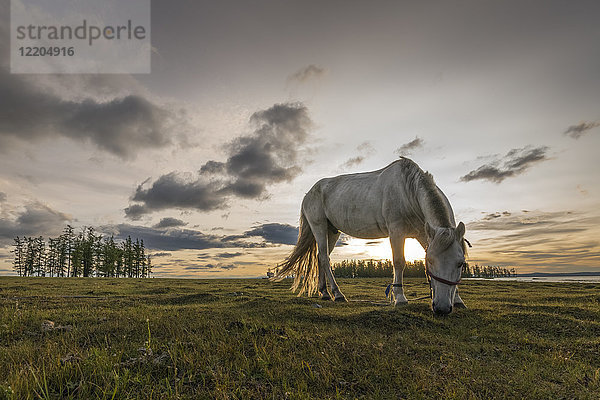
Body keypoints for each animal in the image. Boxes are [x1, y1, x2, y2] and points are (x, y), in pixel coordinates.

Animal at [274, 157, 468, 316]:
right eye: (430, 262)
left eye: (461, 263)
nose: (442, 308)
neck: (409, 191)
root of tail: (309, 193)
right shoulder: (396, 231)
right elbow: (399, 262)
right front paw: (400, 298)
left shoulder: (423, 233)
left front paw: (458, 300)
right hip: (319, 226)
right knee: (324, 257)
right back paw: (337, 294)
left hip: (332, 231)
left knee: (321, 257)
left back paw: (325, 293)